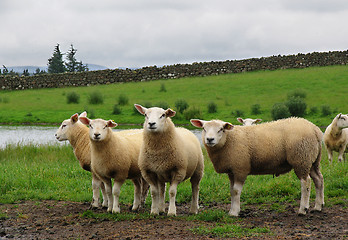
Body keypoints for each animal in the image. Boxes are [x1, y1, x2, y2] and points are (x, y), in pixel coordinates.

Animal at [190, 117, 324, 217]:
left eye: (221, 129)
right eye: (204, 128)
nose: (209, 139)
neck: (228, 140)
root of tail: (315, 129)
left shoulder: (241, 168)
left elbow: (236, 190)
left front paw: (234, 212)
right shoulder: (232, 171)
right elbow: (232, 191)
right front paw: (232, 210)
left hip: (301, 158)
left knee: (306, 183)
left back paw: (303, 209)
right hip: (313, 161)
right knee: (319, 179)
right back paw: (318, 206)